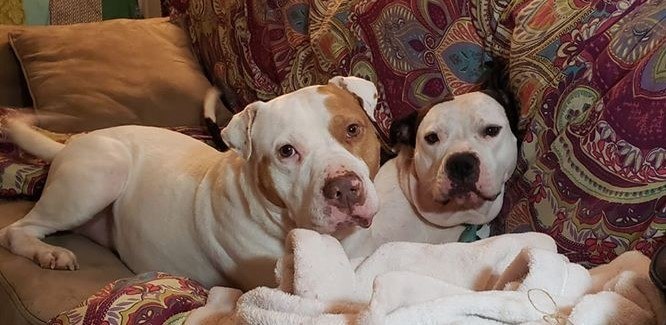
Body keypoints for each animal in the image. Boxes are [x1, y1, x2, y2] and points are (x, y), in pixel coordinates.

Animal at [0, 76, 382, 288]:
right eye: (286, 151)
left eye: (353, 129)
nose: (344, 188)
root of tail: (72, 142)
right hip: (104, 172)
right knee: (16, 230)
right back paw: (49, 253)